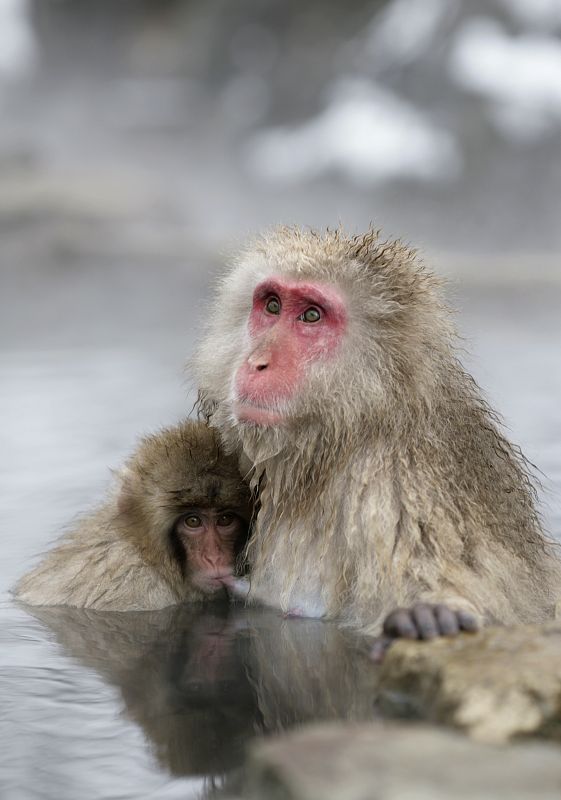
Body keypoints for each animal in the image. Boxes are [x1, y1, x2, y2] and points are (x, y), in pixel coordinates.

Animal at [193, 227, 561, 649]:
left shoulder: (398, 488)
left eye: (311, 315)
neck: (344, 437)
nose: (257, 362)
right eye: (272, 305)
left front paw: (431, 615)